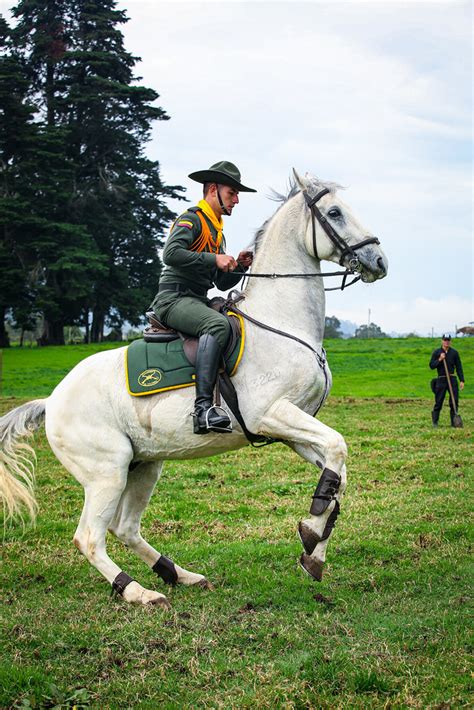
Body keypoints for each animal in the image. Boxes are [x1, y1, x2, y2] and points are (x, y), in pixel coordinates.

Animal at [0, 170, 388, 608]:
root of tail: (52, 400)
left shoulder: (292, 428)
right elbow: (337, 449)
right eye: (334, 213)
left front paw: (313, 546)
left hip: (144, 465)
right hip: (106, 472)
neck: (281, 322)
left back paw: (178, 574)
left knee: (125, 528)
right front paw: (312, 537)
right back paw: (138, 591)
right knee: (90, 538)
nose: (379, 261)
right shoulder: (271, 413)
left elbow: (335, 475)